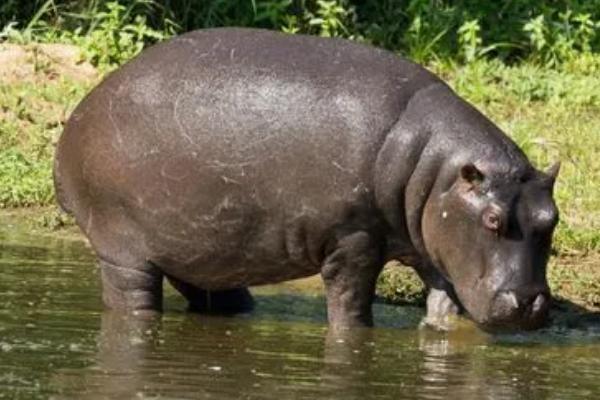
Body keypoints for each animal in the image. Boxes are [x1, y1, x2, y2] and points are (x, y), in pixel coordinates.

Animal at [54, 28, 560, 332]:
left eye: (551, 219)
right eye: (493, 219)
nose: (531, 304)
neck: (436, 168)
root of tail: (75, 119)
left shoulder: (430, 241)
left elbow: (444, 301)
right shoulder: (352, 240)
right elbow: (351, 304)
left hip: (194, 248)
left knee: (212, 293)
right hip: (123, 250)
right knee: (131, 301)